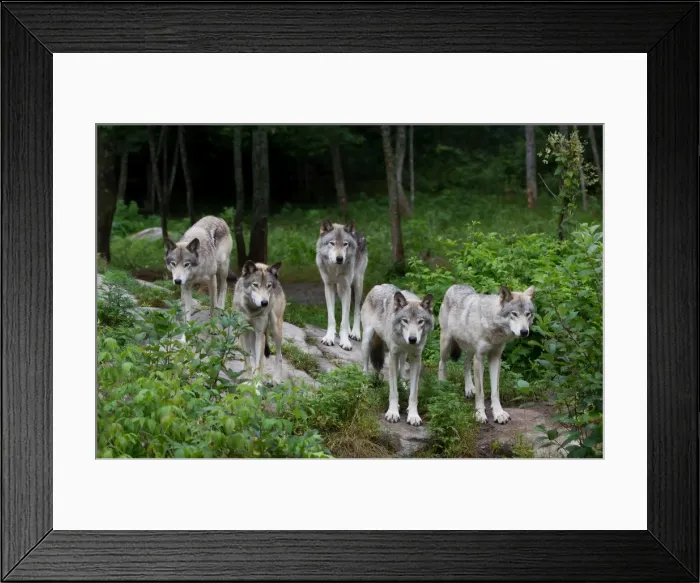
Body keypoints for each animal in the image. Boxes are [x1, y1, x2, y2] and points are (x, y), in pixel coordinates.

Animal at [316, 218, 368, 351]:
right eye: (332, 243)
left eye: (345, 244)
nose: (339, 258)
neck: (335, 269)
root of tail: (356, 232)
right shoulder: (329, 286)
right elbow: (332, 317)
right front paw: (329, 337)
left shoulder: (346, 287)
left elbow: (344, 319)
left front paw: (345, 341)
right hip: (339, 289)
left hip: (357, 284)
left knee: (356, 309)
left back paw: (355, 333)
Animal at [361, 284, 434, 426]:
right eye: (405, 320)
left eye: (420, 321)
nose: (412, 339)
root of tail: (378, 286)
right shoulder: (392, 356)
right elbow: (393, 391)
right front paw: (393, 412)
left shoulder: (416, 358)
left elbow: (413, 394)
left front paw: (413, 415)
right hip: (367, 340)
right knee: (365, 366)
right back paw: (365, 383)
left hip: (404, 354)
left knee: (401, 372)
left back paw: (404, 385)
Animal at [438, 284, 535, 424]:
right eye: (514, 314)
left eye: (527, 314)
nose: (524, 332)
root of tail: (456, 285)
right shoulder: (479, 358)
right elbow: (481, 392)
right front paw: (480, 414)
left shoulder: (495, 358)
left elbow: (495, 391)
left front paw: (499, 413)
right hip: (446, 344)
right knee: (442, 363)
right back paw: (441, 386)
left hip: (471, 350)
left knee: (465, 365)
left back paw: (469, 388)